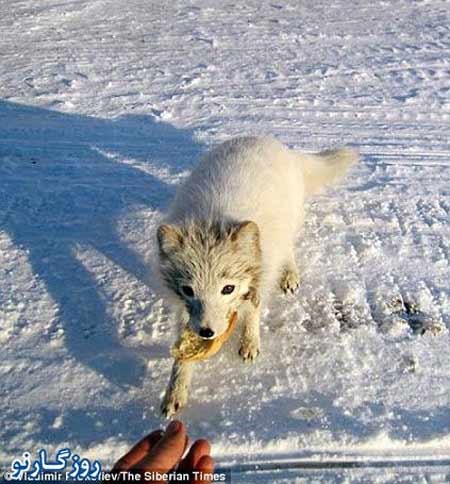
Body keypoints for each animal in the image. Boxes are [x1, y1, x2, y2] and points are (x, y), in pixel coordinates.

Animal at [156, 136, 356, 416]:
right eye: (188, 290)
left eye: (227, 289)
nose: (206, 332)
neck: (212, 223)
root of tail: (269, 141)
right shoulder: (183, 309)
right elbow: (181, 353)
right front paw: (175, 391)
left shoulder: (262, 275)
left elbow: (252, 310)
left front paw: (250, 342)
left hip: (289, 223)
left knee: (289, 248)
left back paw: (290, 275)